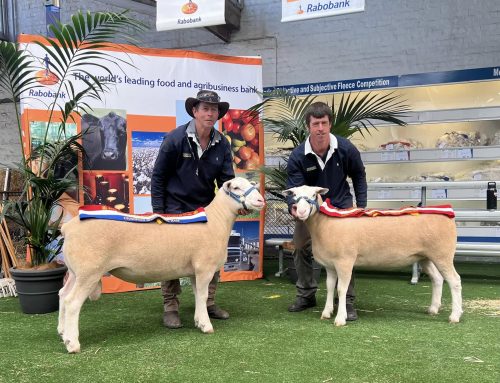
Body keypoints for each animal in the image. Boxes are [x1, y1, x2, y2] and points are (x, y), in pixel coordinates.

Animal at [58, 177, 266, 354]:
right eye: (236, 188)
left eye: (252, 184)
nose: (260, 200)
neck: (216, 221)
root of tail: (68, 227)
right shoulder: (204, 268)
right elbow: (203, 296)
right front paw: (206, 326)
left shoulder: (194, 271)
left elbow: (197, 296)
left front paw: (198, 320)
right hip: (88, 271)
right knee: (72, 302)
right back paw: (72, 344)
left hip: (75, 272)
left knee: (62, 295)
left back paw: (62, 332)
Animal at [284, 185, 462, 328]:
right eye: (295, 196)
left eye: (313, 195)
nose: (300, 212)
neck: (324, 224)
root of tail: (446, 214)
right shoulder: (330, 265)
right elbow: (329, 287)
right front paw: (327, 312)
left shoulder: (344, 261)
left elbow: (341, 289)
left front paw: (340, 318)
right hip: (425, 256)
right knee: (437, 279)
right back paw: (433, 308)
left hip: (443, 254)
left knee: (454, 281)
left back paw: (455, 315)